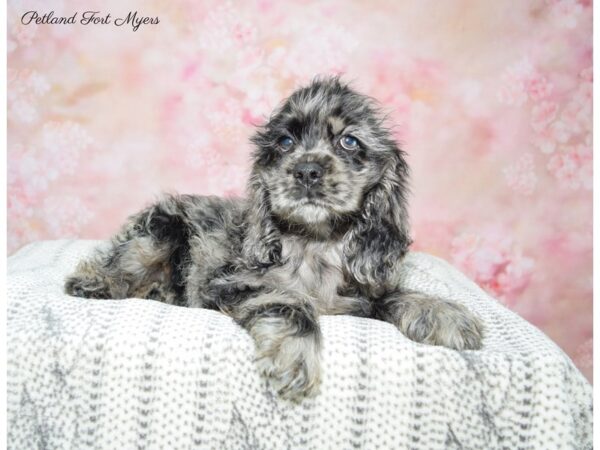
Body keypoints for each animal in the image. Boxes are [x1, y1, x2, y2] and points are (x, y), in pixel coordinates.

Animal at [65, 76, 486, 400]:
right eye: (285, 143)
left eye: (349, 142)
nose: (307, 171)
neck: (315, 243)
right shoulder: (230, 283)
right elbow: (289, 300)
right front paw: (294, 356)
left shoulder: (358, 296)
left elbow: (394, 295)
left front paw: (442, 312)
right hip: (157, 234)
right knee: (118, 263)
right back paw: (97, 281)